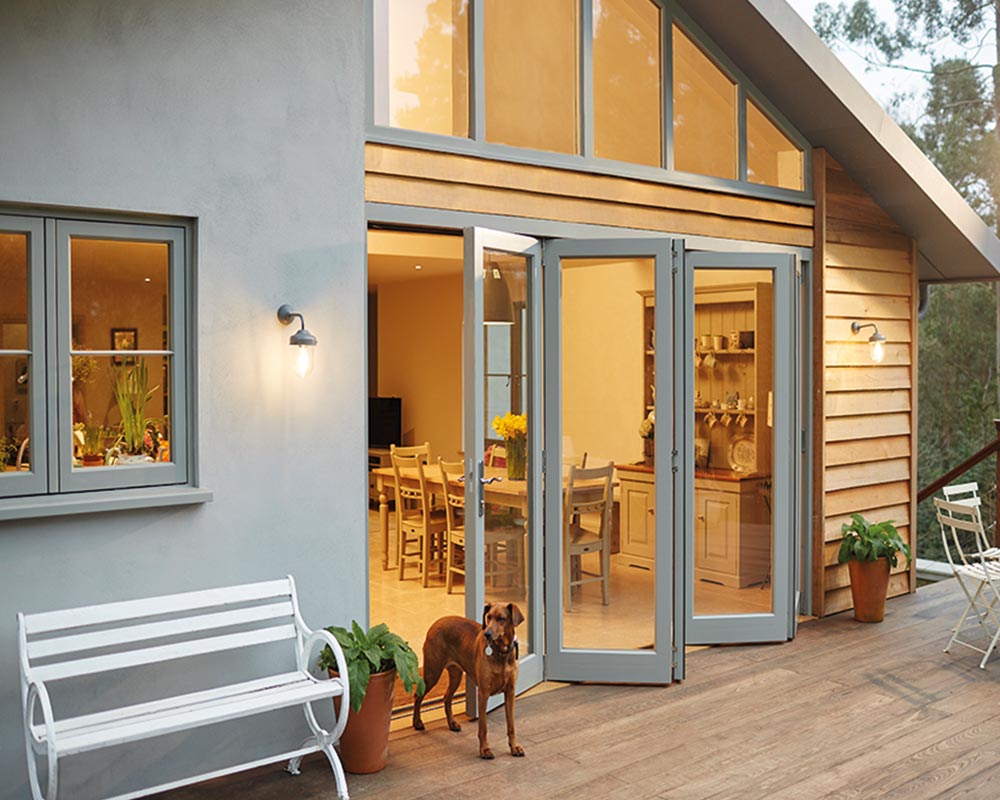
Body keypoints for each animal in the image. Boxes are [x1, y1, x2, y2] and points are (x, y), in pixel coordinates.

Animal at [412, 604, 528, 760]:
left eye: (501, 618)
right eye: (488, 617)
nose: (487, 634)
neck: (501, 653)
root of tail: (436, 622)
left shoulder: (510, 692)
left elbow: (511, 726)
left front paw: (514, 747)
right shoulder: (483, 693)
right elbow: (483, 727)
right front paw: (485, 750)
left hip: (456, 675)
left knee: (446, 698)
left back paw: (452, 723)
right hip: (432, 673)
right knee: (418, 696)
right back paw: (417, 722)